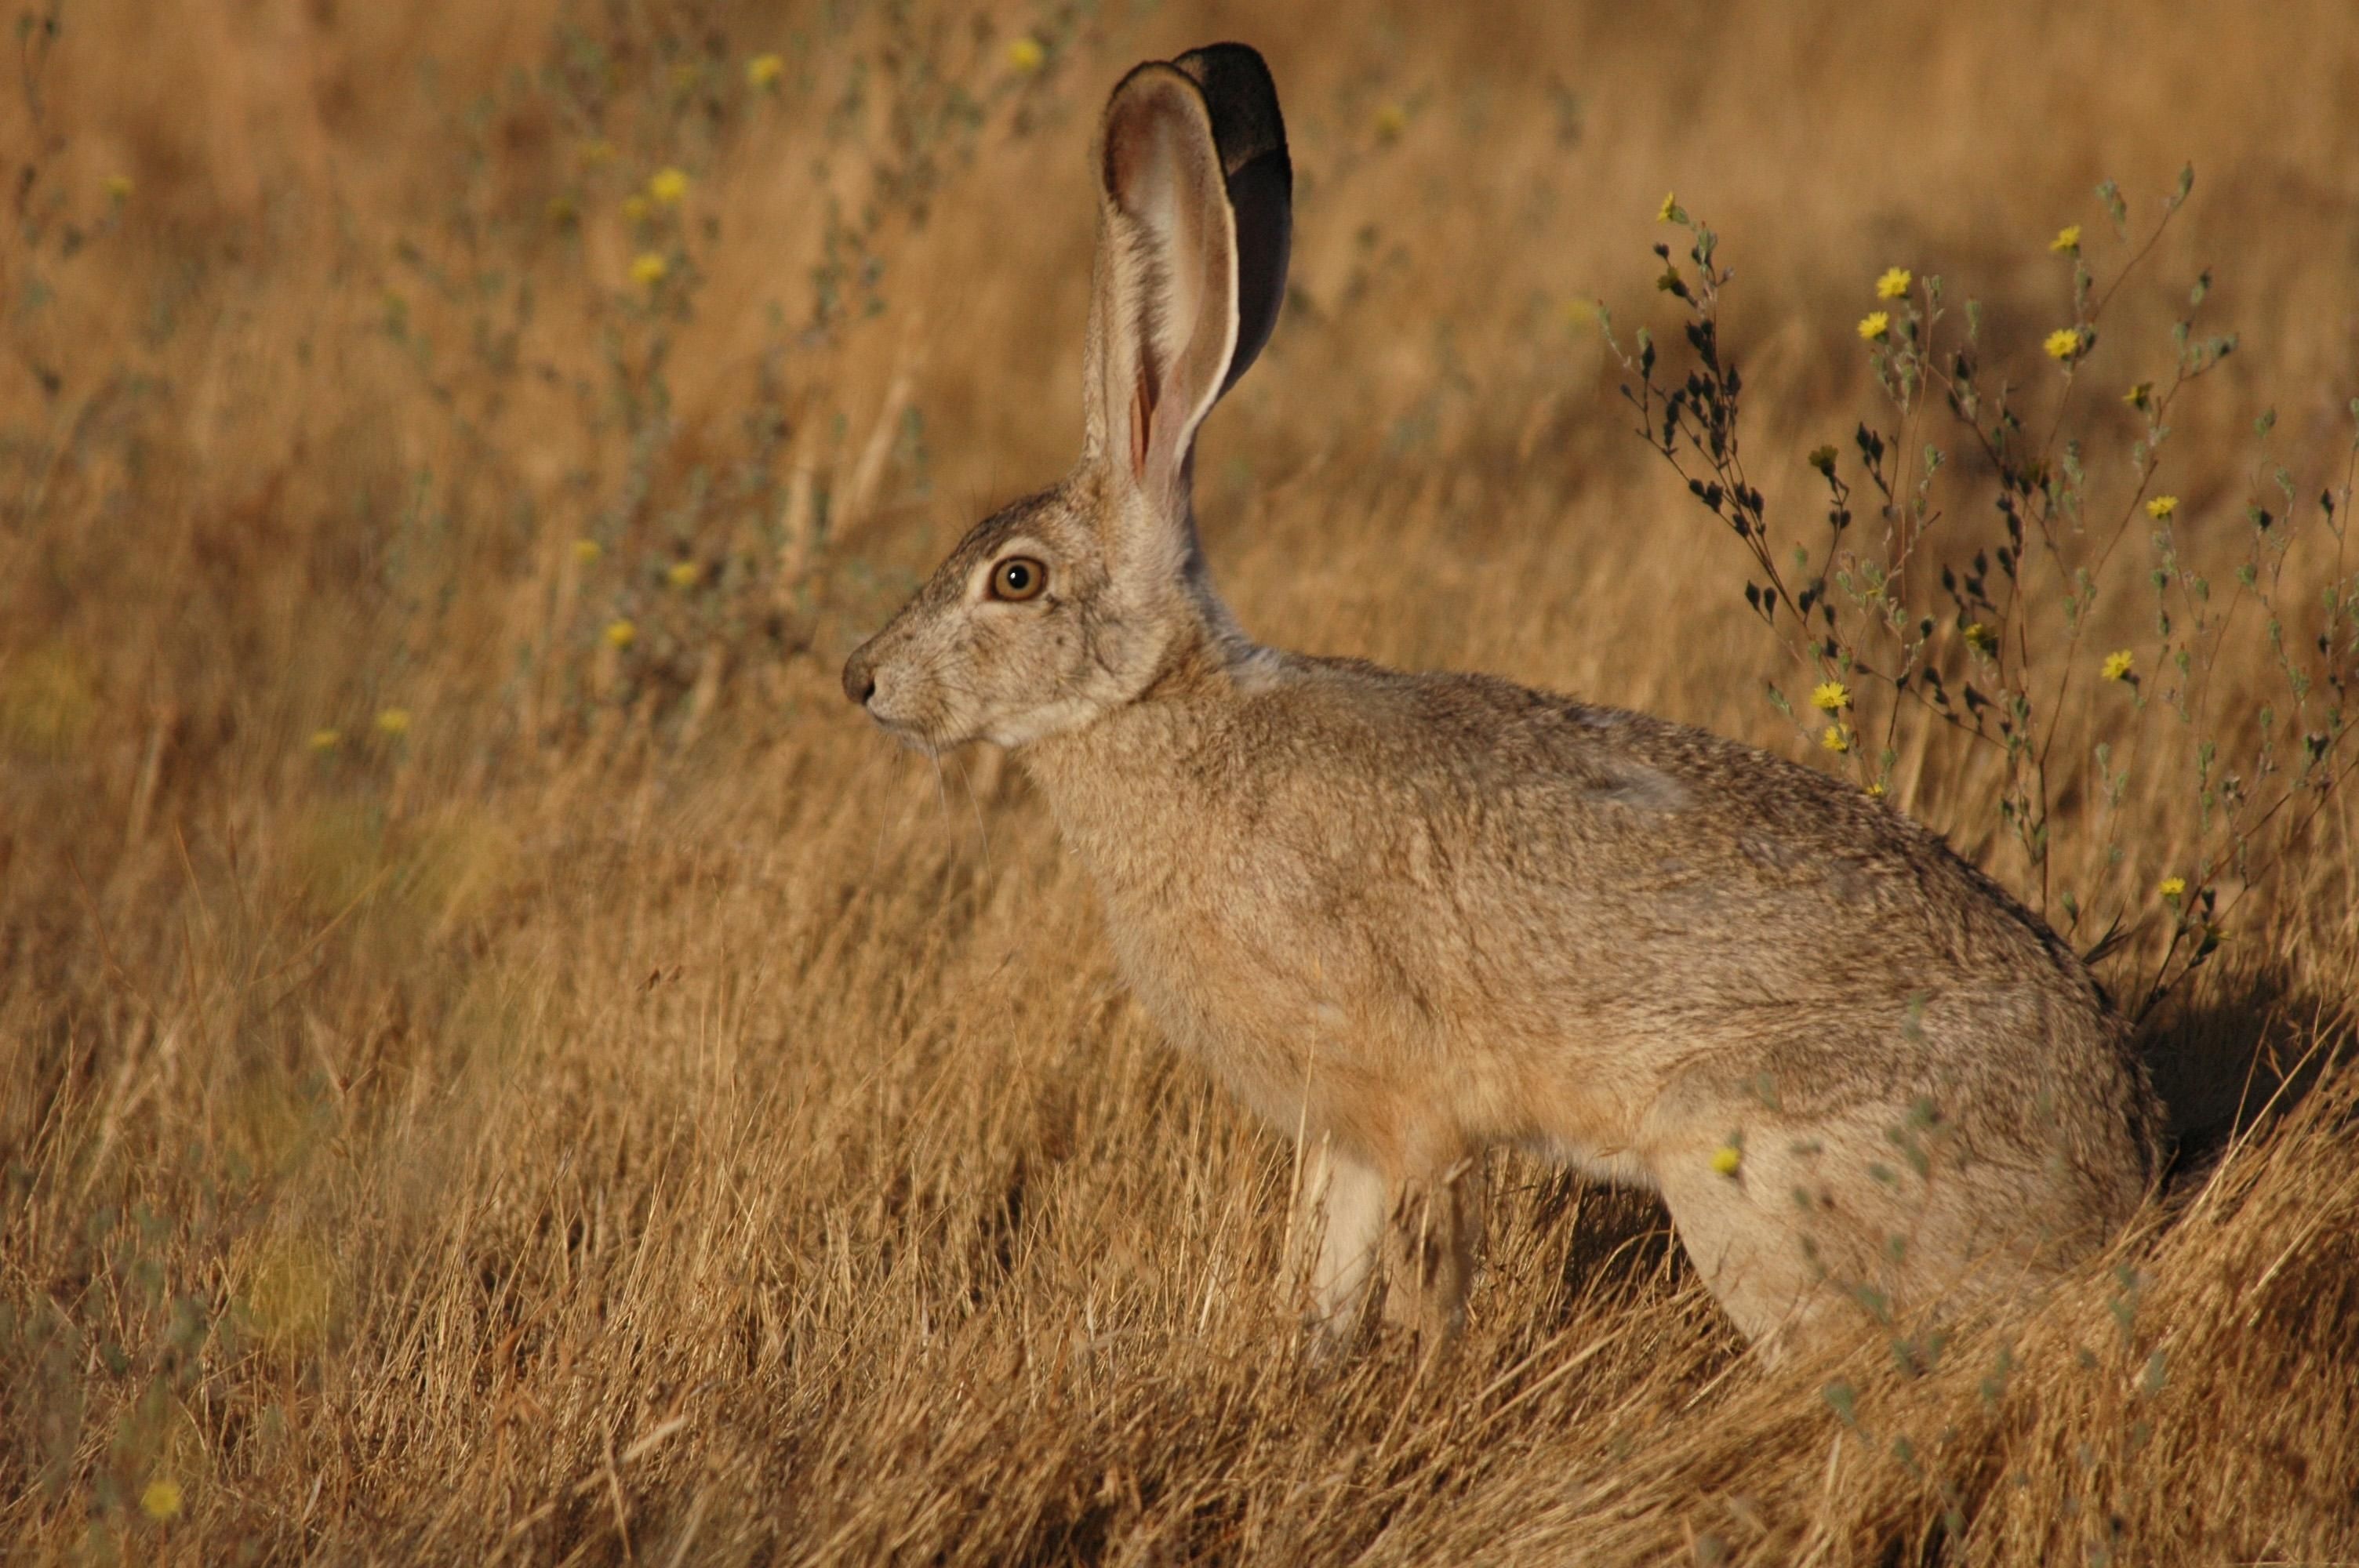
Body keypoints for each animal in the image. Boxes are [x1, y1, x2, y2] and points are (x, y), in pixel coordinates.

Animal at [841, 42, 2163, 1357]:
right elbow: (1327, 1262)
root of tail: (2117, 1170)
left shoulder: (1404, 1104)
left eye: (1015, 579)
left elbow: (1416, 1259)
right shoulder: (1344, 1132)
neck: (1162, 704)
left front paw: (1409, 1372)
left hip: (1743, 1155)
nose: (863, 679)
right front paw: (1311, 1363)